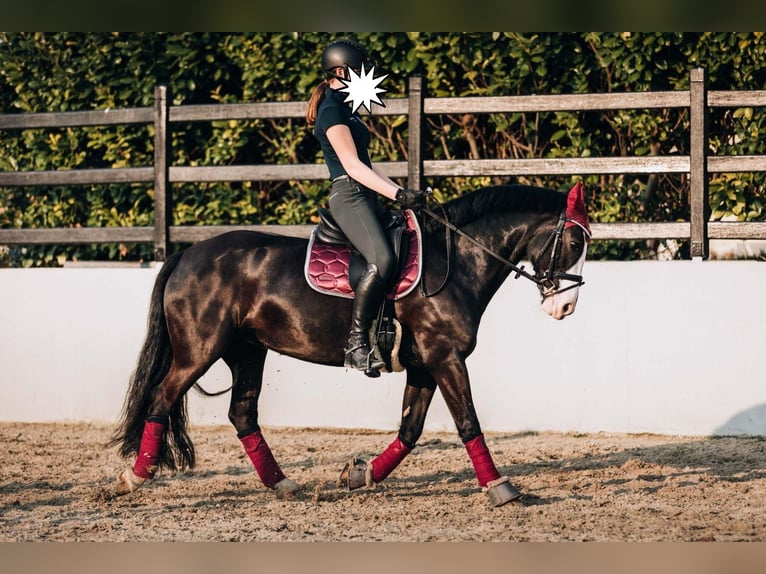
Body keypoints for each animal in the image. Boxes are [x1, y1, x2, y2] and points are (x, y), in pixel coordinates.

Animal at [109, 181, 592, 508]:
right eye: (573, 241)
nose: (566, 306)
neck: (453, 263)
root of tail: (187, 254)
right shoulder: (445, 358)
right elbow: (468, 422)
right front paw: (501, 487)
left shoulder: (424, 365)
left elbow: (410, 431)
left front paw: (359, 475)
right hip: (199, 351)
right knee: (161, 397)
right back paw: (133, 479)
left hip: (247, 351)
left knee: (242, 414)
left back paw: (283, 484)